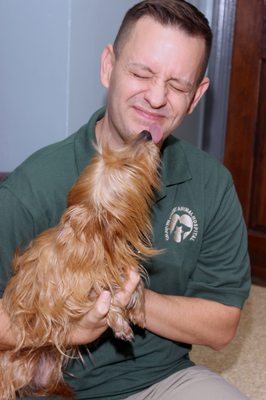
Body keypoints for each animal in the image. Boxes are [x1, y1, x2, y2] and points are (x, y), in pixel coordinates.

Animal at [1, 130, 161, 398]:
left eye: (121, 148)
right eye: (126, 165)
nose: (147, 133)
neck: (95, 240)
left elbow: (135, 283)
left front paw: (138, 309)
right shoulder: (62, 298)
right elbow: (101, 292)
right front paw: (119, 320)